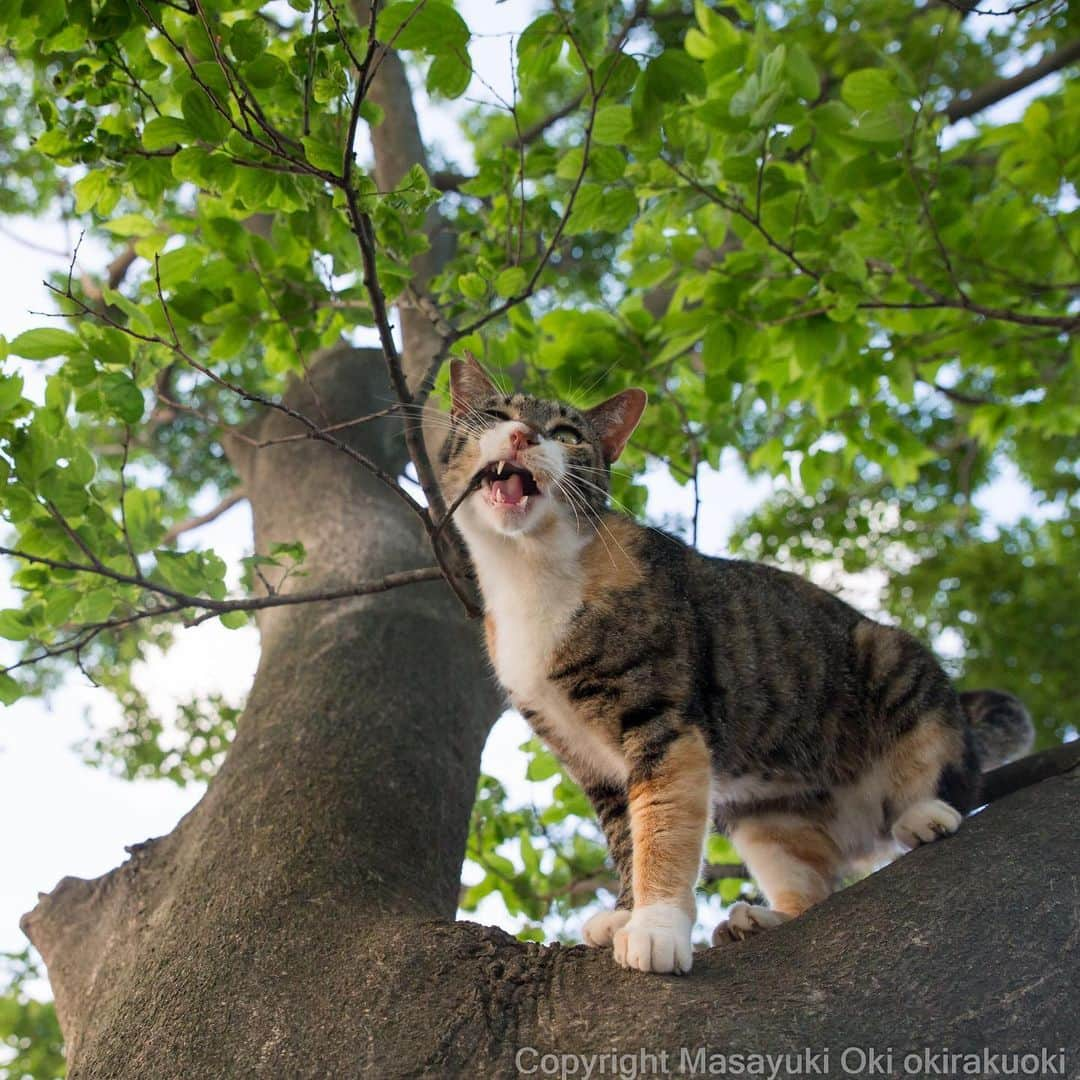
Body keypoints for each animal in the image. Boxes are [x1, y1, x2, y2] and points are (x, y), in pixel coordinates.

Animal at [440, 358, 1036, 976]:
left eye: (565, 434)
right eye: (496, 414)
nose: (523, 435)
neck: (528, 573)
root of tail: (861, 823)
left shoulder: (663, 722)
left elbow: (663, 826)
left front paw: (655, 928)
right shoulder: (588, 760)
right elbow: (627, 836)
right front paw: (625, 915)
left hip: (894, 660)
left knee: (943, 767)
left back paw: (924, 815)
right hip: (765, 817)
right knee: (813, 886)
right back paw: (763, 919)